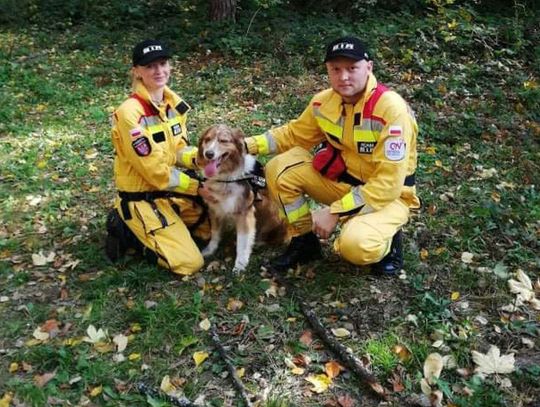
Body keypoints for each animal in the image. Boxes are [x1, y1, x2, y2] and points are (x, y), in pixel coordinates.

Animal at [195, 122, 286, 272]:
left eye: (223, 141)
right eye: (207, 139)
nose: (209, 154)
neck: (226, 177)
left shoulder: (244, 213)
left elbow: (242, 243)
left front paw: (240, 265)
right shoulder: (215, 208)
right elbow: (215, 233)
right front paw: (210, 250)